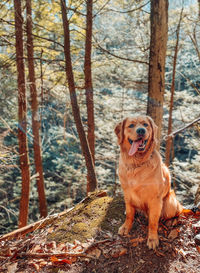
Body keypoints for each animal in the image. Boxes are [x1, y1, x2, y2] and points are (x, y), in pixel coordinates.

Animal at [114, 115, 183, 249]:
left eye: (145, 124)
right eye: (131, 125)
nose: (141, 130)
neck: (136, 164)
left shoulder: (155, 198)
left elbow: (153, 221)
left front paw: (152, 238)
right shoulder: (127, 193)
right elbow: (129, 213)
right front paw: (126, 227)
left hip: (170, 203)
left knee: (178, 211)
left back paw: (172, 221)